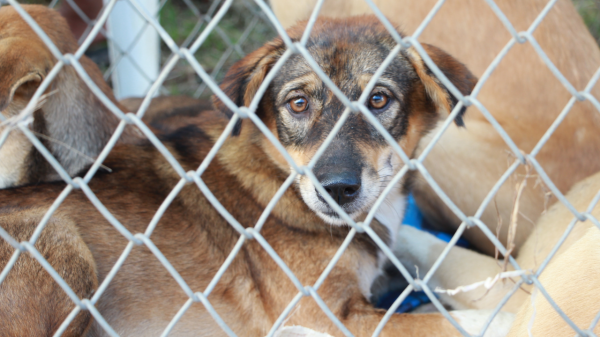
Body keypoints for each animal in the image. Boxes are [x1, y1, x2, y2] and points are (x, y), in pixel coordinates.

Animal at [1, 5, 516, 336]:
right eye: (298, 103)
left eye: (379, 99)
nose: (337, 189)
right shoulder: (331, 314)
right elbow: (447, 321)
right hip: (57, 242)